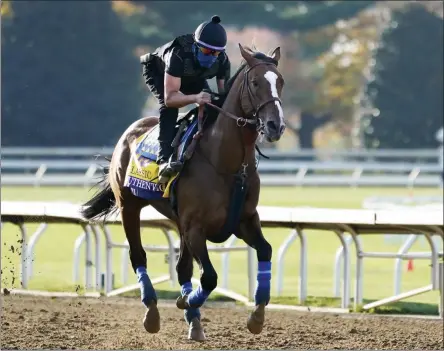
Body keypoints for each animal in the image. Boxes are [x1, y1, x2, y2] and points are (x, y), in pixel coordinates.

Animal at [80, 43, 286, 340]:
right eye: (256, 82)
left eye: (280, 82)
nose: (275, 126)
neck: (226, 164)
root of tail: (130, 132)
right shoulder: (195, 227)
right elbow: (209, 277)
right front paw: (186, 301)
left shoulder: (244, 221)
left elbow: (265, 251)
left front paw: (257, 316)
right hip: (129, 206)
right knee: (138, 256)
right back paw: (152, 313)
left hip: (178, 221)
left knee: (183, 268)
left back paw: (194, 322)